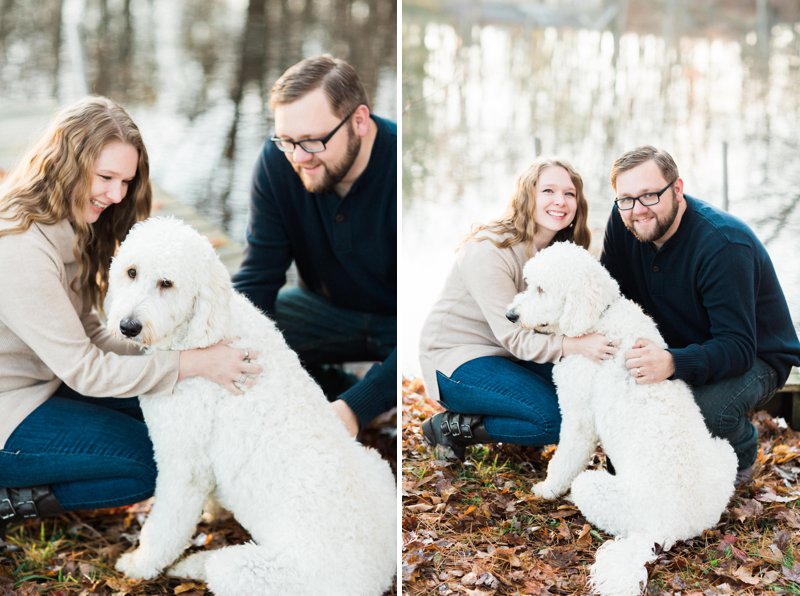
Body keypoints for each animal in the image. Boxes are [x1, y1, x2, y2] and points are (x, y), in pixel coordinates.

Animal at [103, 217, 396, 592]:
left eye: (166, 283)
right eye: (131, 272)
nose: (128, 326)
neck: (203, 331)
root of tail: (379, 575)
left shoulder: (183, 462)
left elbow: (167, 523)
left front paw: (139, 564)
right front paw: (214, 509)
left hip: (254, 572)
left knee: (220, 566)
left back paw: (191, 565)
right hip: (378, 465)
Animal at [510, 242, 736, 596]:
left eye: (541, 288)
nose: (511, 315)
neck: (600, 316)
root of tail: (665, 528)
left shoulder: (578, 418)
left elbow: (565, 457)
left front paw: (547, 488)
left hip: (593, 488)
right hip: (725, 452)